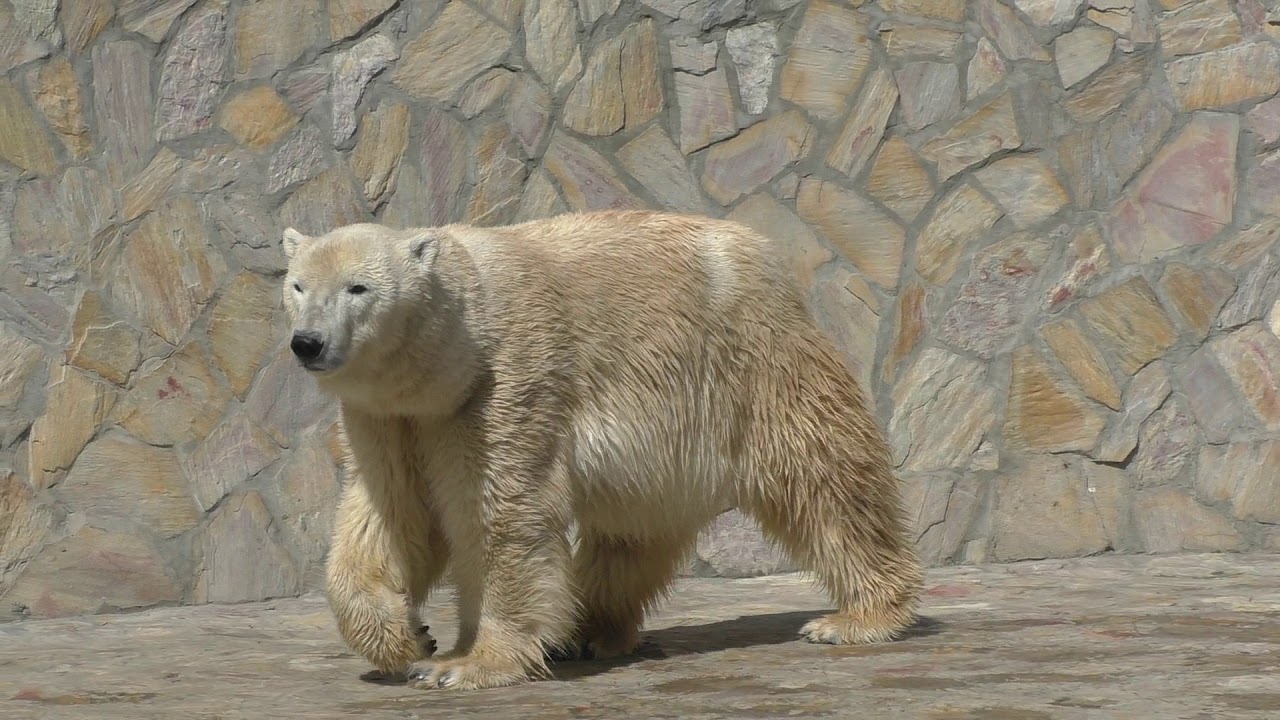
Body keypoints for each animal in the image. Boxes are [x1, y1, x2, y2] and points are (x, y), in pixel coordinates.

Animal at [277, 210, 921, 686]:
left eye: (358, 288)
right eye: (298, 285)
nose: (308, 342)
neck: (455, 353)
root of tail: (768, 257)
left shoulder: (505, 384)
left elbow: (502, 515)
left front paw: (467, 663)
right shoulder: (391, 417)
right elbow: (393, 513)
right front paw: (408, 638)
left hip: (752, 366)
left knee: (823, 479)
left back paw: (857, 617)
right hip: (668, 450)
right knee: (630, 534)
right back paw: (583, 632)